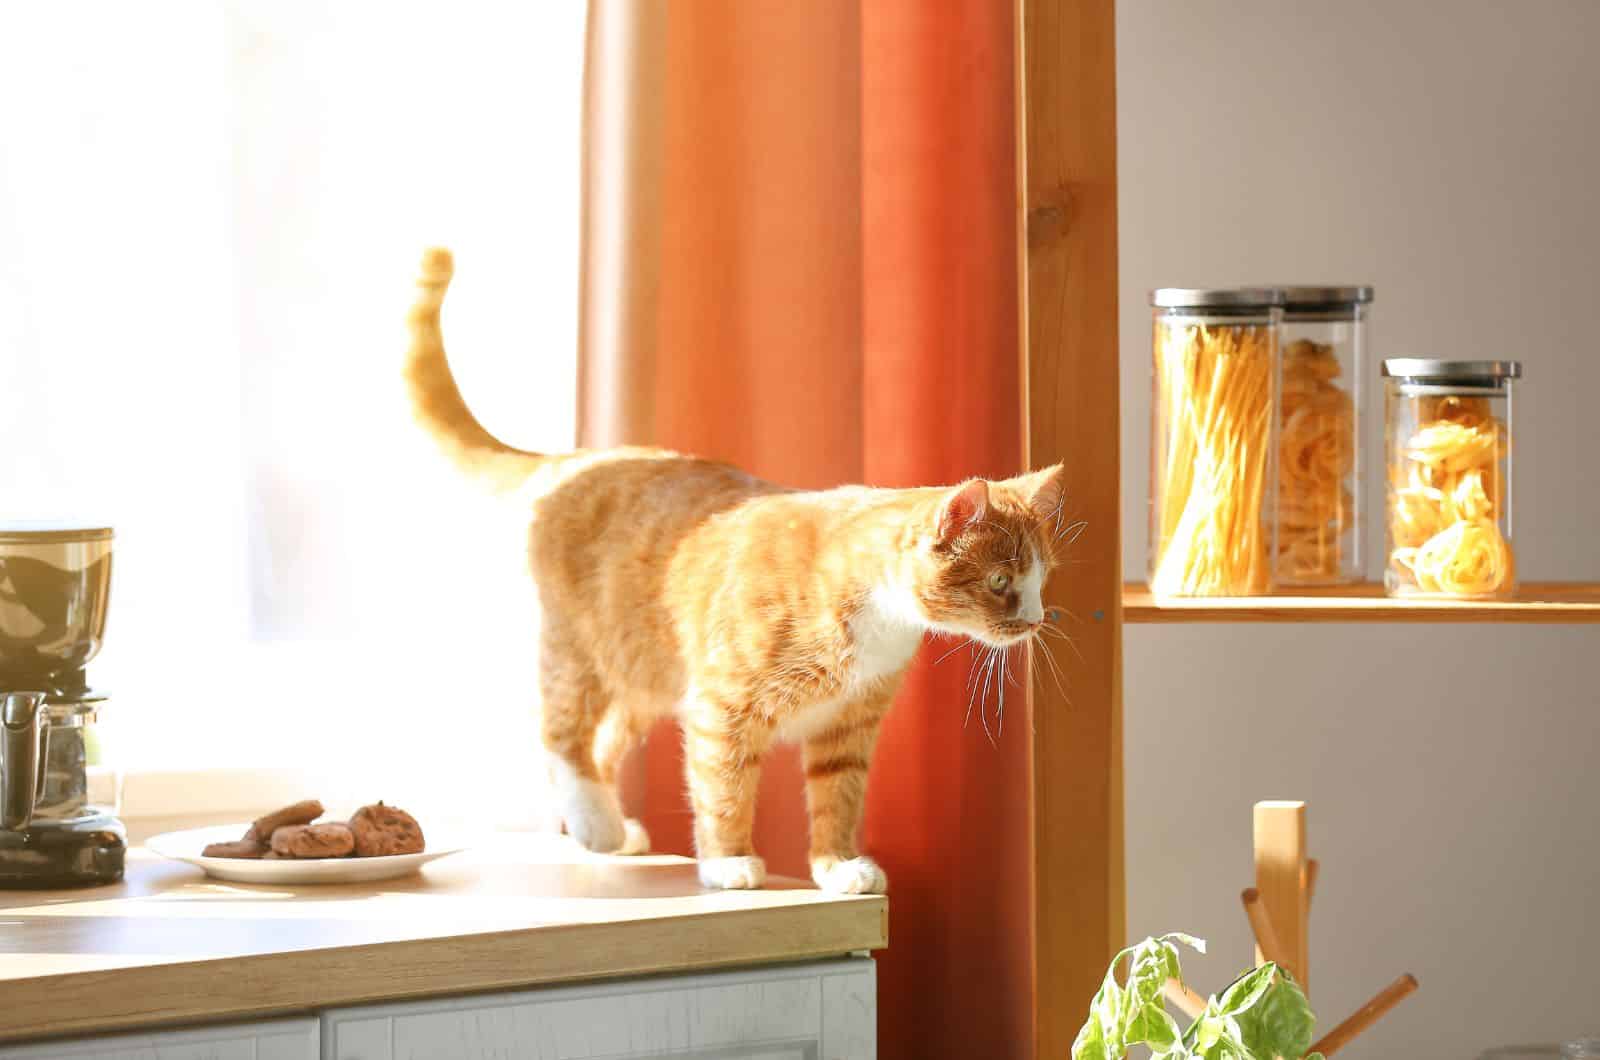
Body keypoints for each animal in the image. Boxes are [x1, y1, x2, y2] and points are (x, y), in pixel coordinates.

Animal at [406, 251, 1068, 896]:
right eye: (1001, 582)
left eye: (1040, 579)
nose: (1035, 621)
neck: (879, 620)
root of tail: (573, 459)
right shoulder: (722, 708)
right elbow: (722, 787)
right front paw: (729, 863)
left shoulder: (848, 729)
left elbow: (838, 798)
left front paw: (837, 866)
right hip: (582, 653)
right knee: (561, 732)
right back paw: (595, 821)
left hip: (645, 674)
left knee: (605, 739)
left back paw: (615, 829)